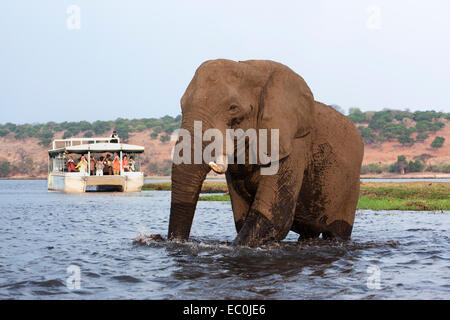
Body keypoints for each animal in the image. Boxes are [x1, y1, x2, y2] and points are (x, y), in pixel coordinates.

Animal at [167, 58, 364, 246]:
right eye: (181, 106)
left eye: (233, 108)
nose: (178, 242)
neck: (252, 68)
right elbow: (242, 217)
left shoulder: (295, 143)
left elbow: (272, 218)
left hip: (350, 187)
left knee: (338, 231)